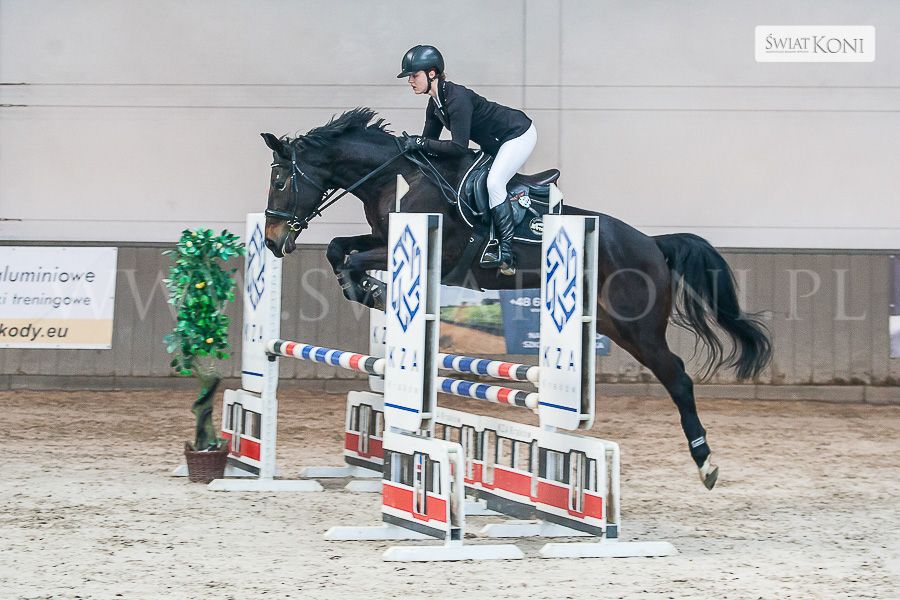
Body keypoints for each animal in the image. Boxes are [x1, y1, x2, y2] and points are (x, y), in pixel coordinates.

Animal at [261, 108, 772, 490]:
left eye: (281, 181)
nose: (271, 240)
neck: (395, 176)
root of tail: (652, 243)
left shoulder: (426, 250)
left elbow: (351, 257)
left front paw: (372, 288)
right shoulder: (381, 237)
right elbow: (338, 248)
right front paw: (365, 288)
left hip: (638, 328)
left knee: (678, 378)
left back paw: (706, 463)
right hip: (612, 324)